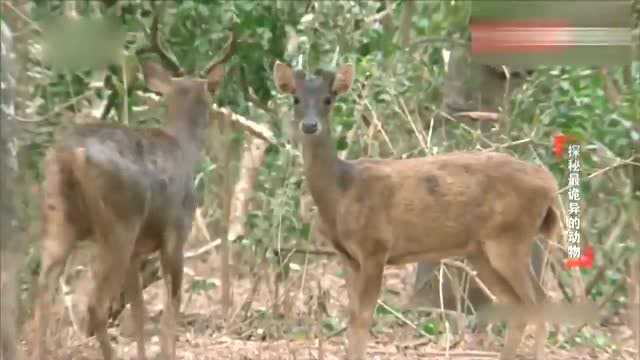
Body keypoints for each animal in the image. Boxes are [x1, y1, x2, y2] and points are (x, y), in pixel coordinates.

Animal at [31, 11, 232, 360]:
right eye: (209, 94)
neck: (184, 148)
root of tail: (72, 154)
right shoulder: (176, 234)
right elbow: (170, 308)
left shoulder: (139, 251)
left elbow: (138, 313)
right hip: (119, 225)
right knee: (95, 306)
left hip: (58, 217)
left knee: (42, 294)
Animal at [276, 60, 560, 358]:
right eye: (296, 98)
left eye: (328, 99)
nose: (310, 125)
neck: (341, 193)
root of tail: (549, 184)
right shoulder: (347, 256)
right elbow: (353, 317)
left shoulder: (376, 246)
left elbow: (363, 318)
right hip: (482, 251)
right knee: (520, 304)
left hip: (510, 238)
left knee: (539, 301)